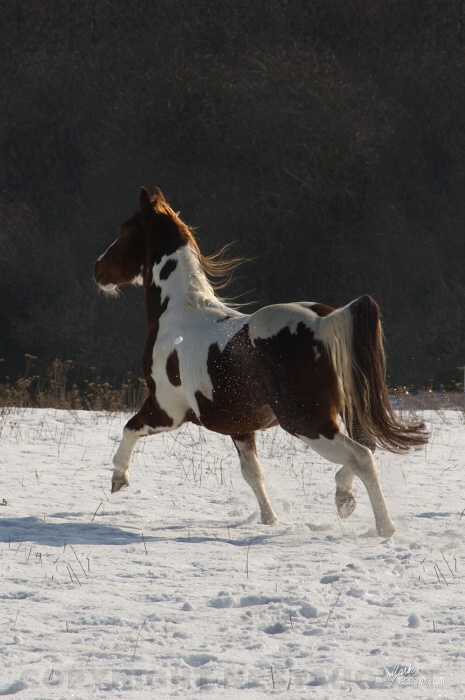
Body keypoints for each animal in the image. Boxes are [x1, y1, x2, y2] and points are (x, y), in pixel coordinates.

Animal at [94, 186, 428, 536]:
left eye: (124, 229)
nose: (98, 269)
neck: (178, 315)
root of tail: (325, 320)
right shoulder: (241, 426)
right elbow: (253, 474)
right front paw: (270, 520)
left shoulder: (166, 410)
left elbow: (130, 428)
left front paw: (118, 479)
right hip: (341, 411)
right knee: (367, 447)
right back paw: (344, 499)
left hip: (306, 422)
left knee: (361, 456)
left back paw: (385, 528)